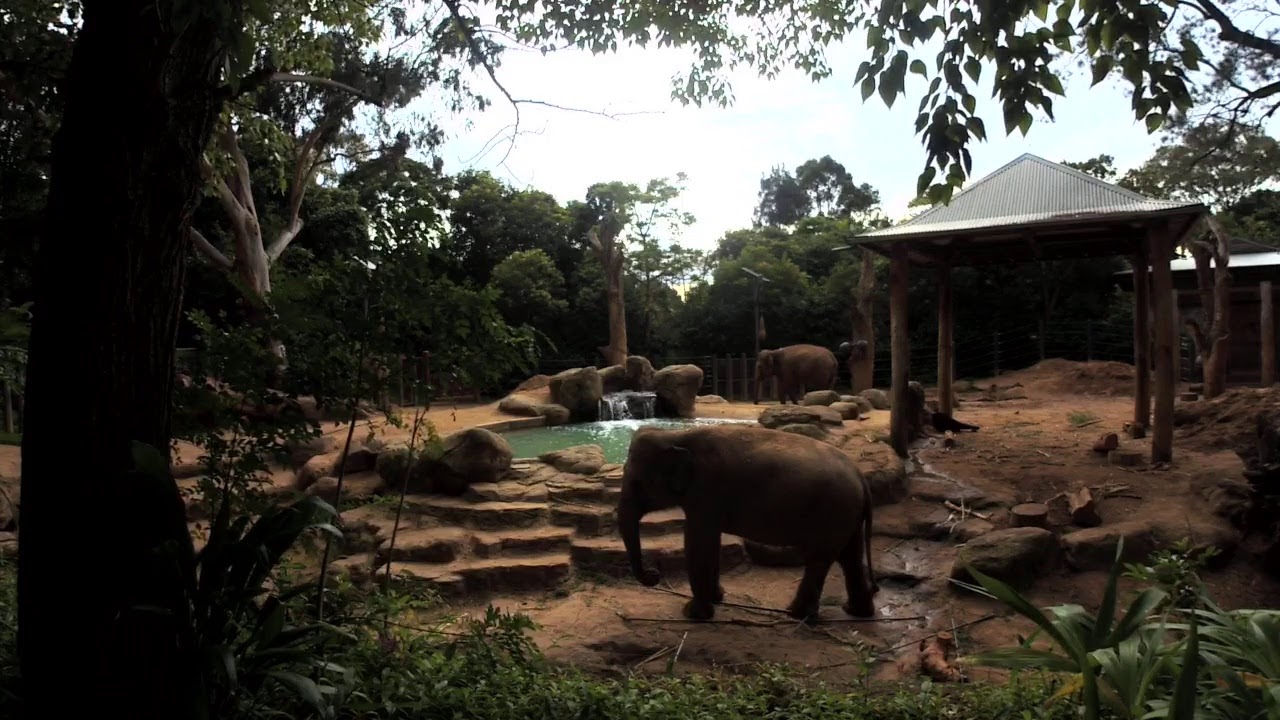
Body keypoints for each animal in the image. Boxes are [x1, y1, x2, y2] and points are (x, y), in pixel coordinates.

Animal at [615, 423, 878, 622]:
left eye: (638, 483)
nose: (653, 574)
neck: (676, 435)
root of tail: (861, 477)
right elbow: (711, 542)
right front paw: (717, 598)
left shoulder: (706, 491)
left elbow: (698, 541)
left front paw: (693, 614)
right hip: (847, 515)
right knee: (850, 557)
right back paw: (855, 612)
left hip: (833, 512)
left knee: (820, 559)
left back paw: (797, 615)